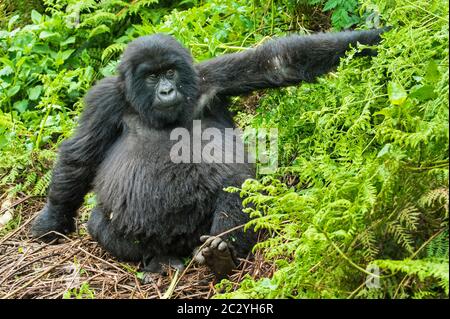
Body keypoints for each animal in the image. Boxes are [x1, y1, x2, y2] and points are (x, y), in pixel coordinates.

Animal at [31, 29, 384, 280]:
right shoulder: (103, 99)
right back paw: (159, 260)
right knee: (100, 224)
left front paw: (377, 37)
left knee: (236, 183)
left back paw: (222, 255)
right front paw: (53, 219)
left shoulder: (210, 79)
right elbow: (80, 155)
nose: (166, 91)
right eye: (152, 76)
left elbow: (278, 63)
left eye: (170, 72)